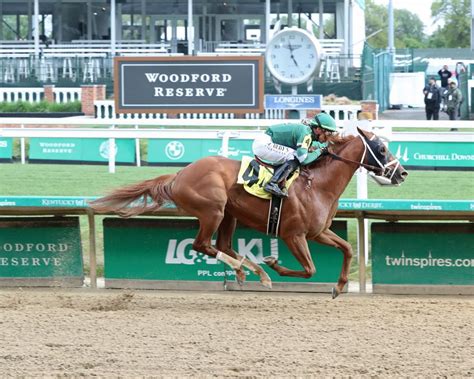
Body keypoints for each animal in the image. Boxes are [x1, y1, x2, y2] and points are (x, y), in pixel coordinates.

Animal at [90, 128, 406, 300]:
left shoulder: (318, 232)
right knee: (202, 245)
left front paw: (339, 287)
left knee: (223, 245)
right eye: (381, 148)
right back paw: (250, 270)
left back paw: (252, 271)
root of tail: (179, 175)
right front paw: (275, 263)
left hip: (229, 215)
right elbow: (309, 270)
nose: (402, 173)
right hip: (213, 210)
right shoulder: (294, 235)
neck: (318, 184)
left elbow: (348, 249)